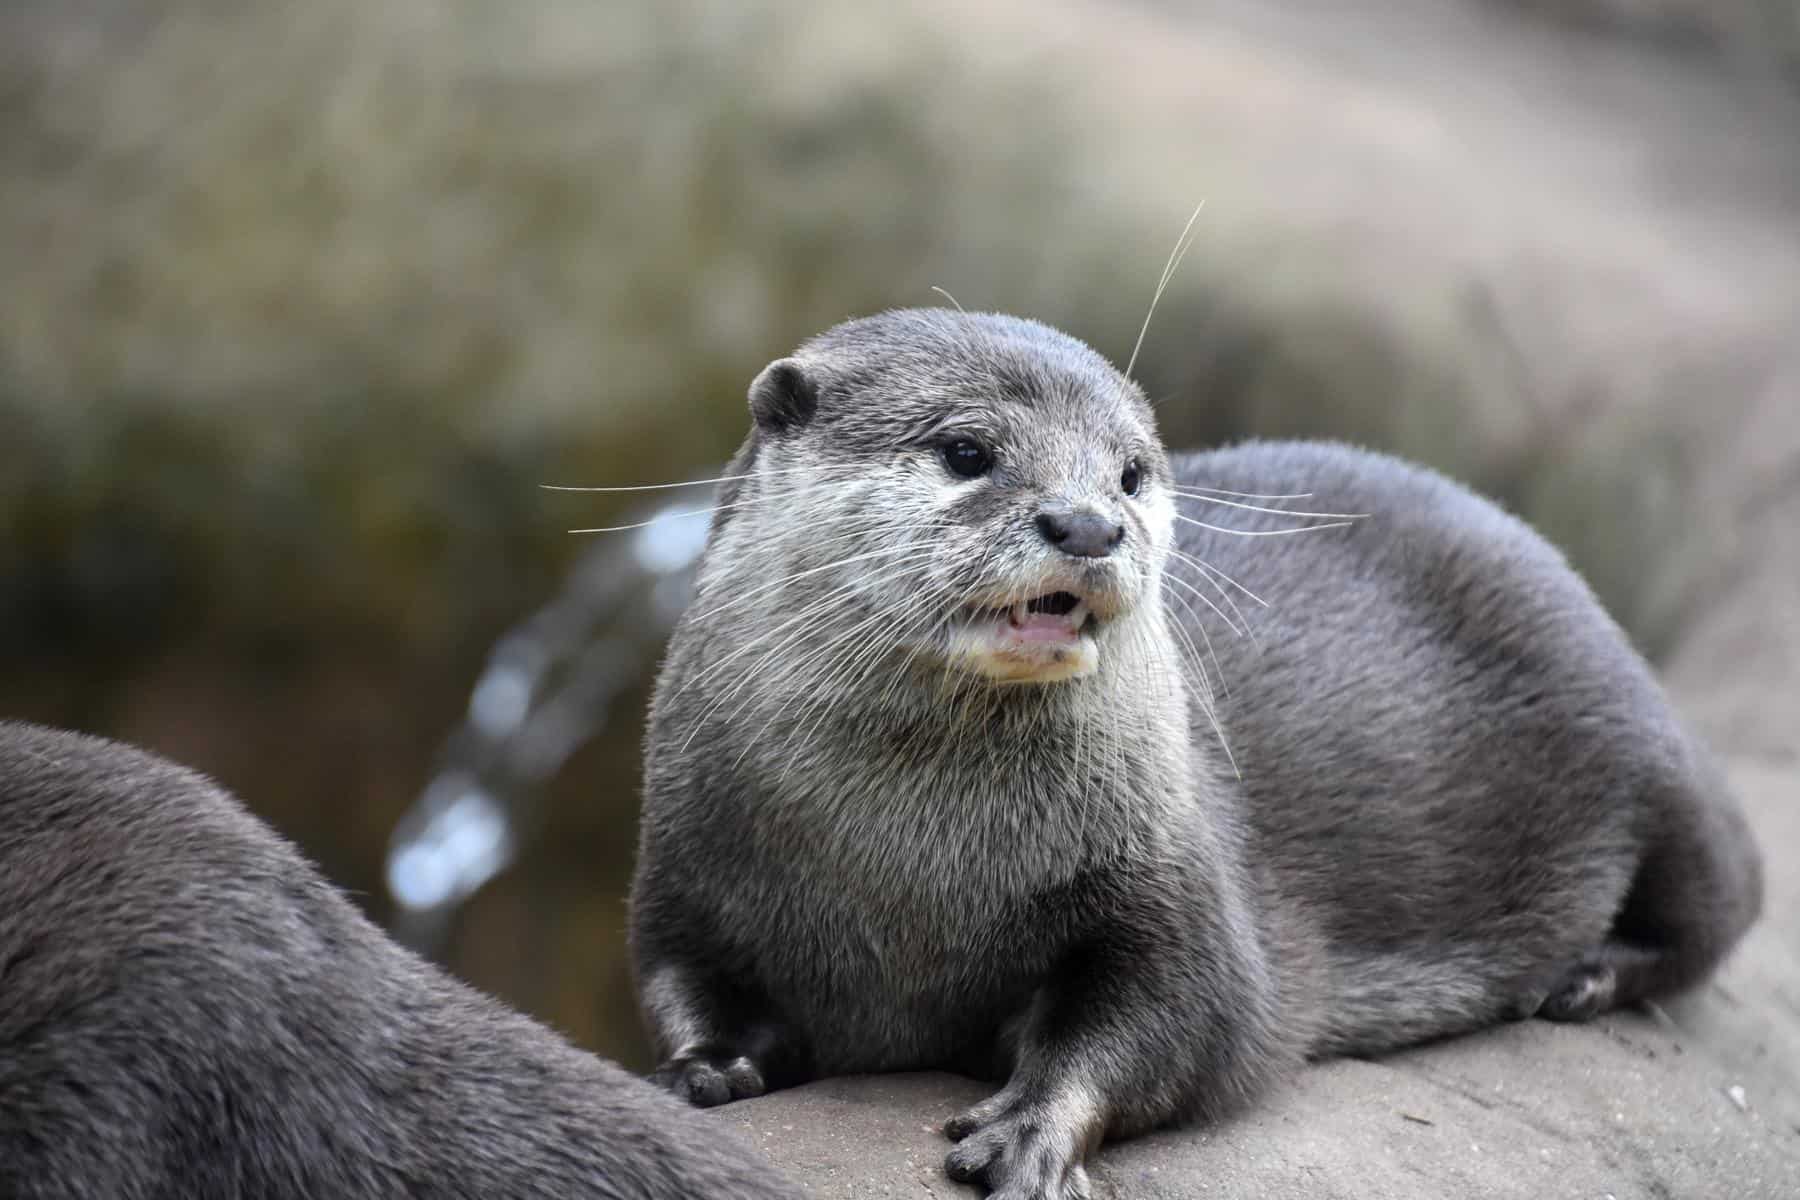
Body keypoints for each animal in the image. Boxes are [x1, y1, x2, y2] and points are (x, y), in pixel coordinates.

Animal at [630, 307, 1756, 1200]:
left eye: (1130, 472)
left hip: (1641, 745)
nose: (1087, 523)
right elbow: (680, 975)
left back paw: (1583, 978)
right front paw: (704, 1068)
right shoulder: (684, 864)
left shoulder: (1174, 872)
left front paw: (1030, 1130)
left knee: (1727, 902)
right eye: (965, 451)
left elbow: (1190, 1015)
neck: (910, 875)